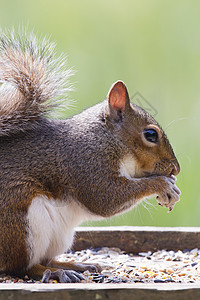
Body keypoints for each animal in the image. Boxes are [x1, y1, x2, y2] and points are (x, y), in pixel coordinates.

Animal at [0, 30, 181, 284]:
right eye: (151, 134)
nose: (176, 169)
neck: (106, 139)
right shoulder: (85, 164)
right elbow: (105, 197)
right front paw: (161, 184)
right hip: (21, 223)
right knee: (21, 267)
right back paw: (55, 272)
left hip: (58, 236)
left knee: (45, 258)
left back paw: (76, 264)